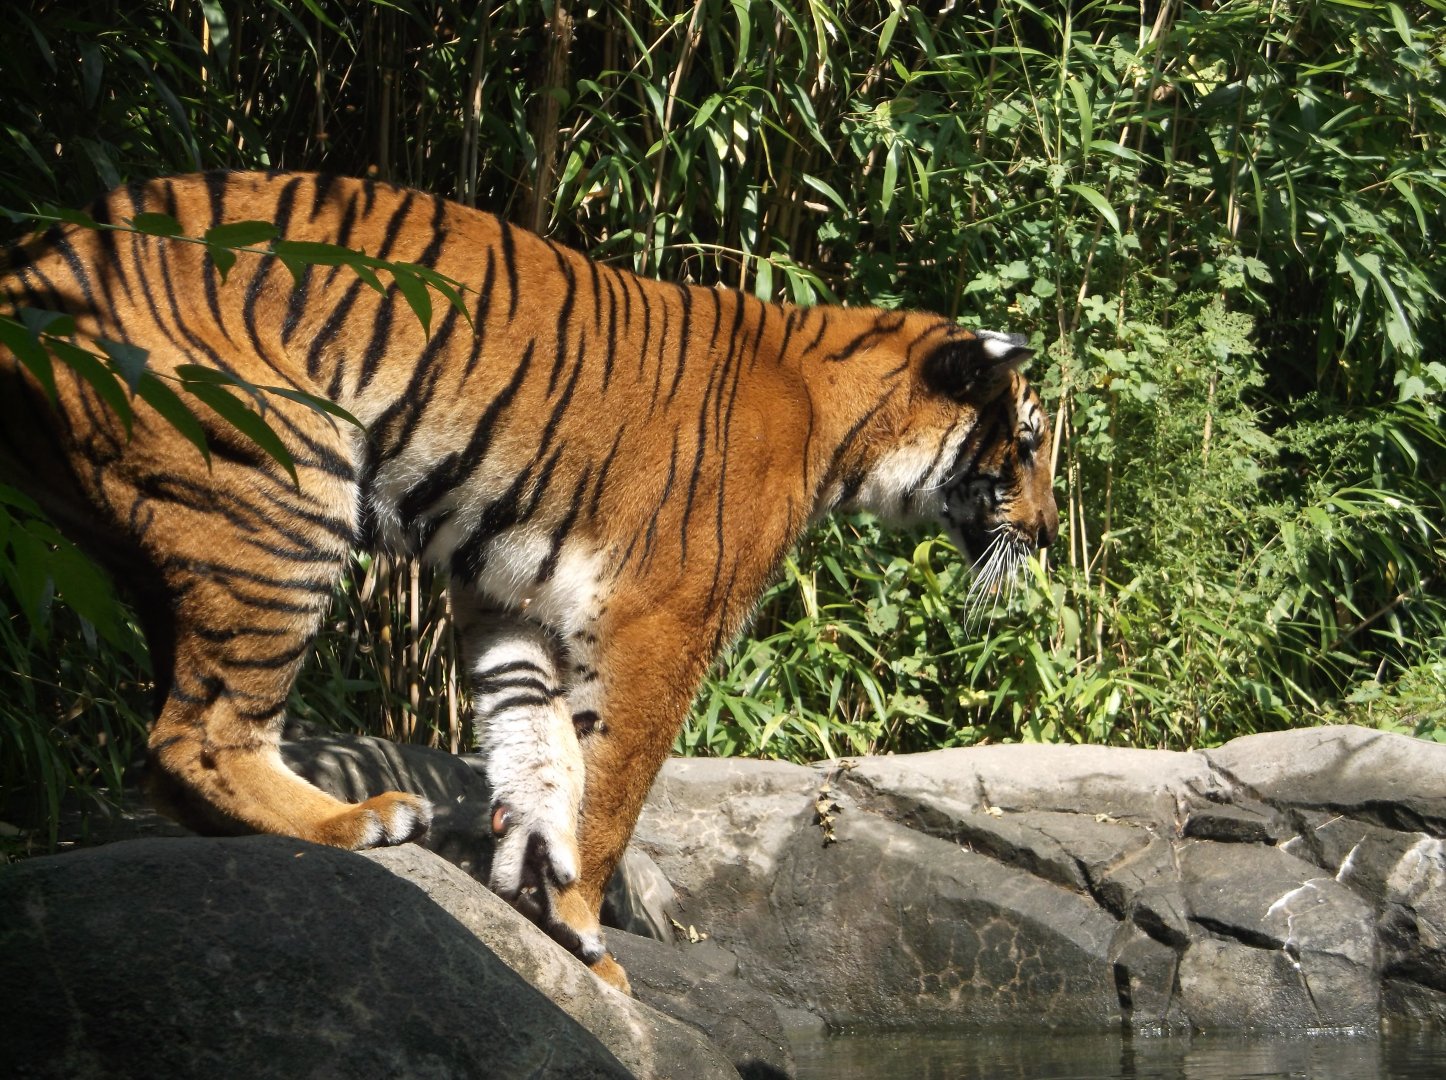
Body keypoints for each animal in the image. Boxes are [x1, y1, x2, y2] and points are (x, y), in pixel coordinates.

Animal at [0, 171, 1058, 991]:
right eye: (1029, 440)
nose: (1049, 536)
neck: (843, 421)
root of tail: (34, 257)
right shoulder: (662, 619)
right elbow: (615, 777)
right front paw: (584, 918)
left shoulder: (511, 592)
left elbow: (538, 746)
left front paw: (543, 893)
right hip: (284, 485)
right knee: (198, 735)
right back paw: (362, 821)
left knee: (168, 744)